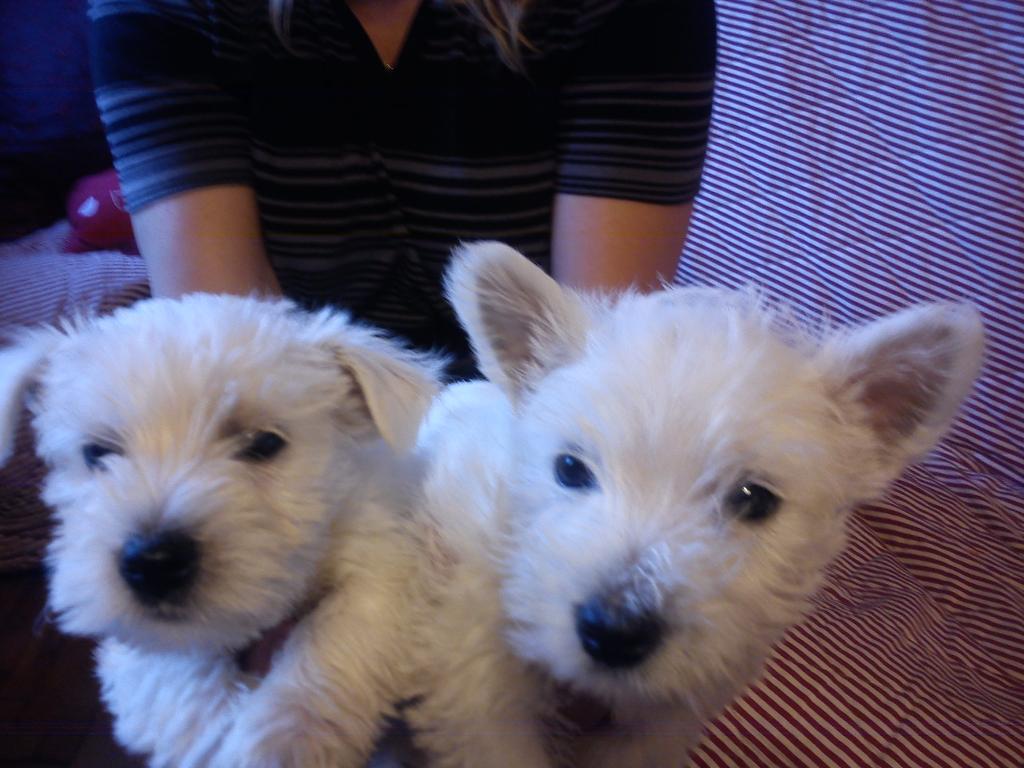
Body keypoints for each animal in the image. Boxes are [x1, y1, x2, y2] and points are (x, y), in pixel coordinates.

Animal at [1, 292, 448, 768]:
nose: (154, 563)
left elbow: (337, 641)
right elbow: (182, 691)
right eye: (96, 453)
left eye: (264, 443)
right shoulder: (137, 648)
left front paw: (280, 738)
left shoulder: (383, 556)